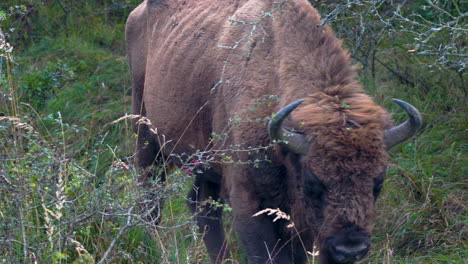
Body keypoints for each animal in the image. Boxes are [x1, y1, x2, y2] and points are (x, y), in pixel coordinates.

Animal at [126, 1, 422, 262]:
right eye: (314, 181)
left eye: (378, 181)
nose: (350, 250)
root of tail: (137, 12)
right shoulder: (250, 205)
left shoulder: (300, 222)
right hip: (146, 133)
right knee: (150, 197)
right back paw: (151, 246)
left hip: (204, 161)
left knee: (200, 205)